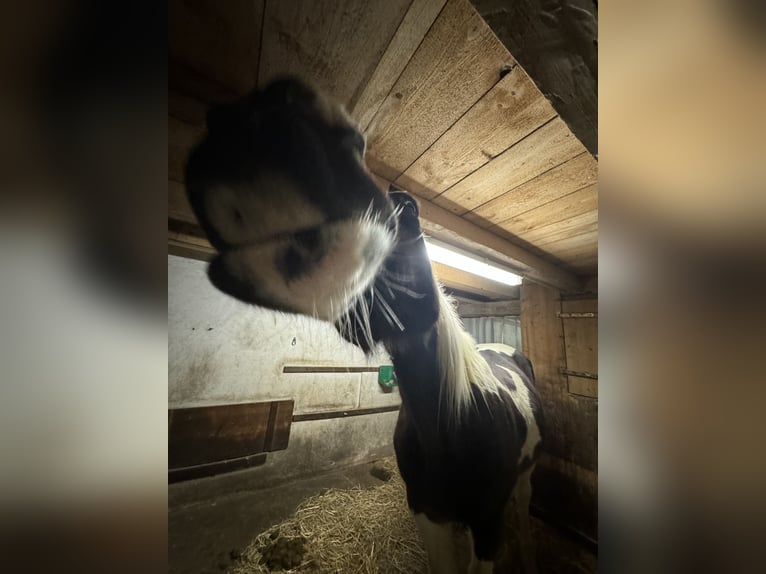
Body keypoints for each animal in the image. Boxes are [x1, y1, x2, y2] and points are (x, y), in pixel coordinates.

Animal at [186, 77, 544, 574]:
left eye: (405, 226)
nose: (273, 118)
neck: (450, 425)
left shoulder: (487, 529)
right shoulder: (429, 515)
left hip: (525, 480)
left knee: (525, 512)